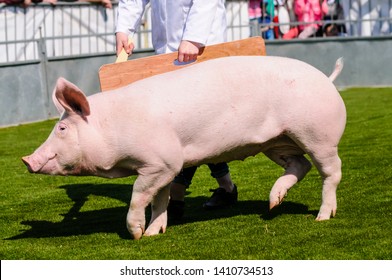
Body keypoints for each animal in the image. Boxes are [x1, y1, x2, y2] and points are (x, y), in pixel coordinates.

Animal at [22, 55, 346, 240]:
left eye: (62, 129)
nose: (26, 159)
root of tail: (327, 79)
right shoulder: (163, 168)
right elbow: (159, 199)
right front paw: (155, 233)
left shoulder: (161, 161)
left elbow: (138, 196)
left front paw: (137, 235)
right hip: (277, 141)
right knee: (300, 164)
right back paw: (272, 204)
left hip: (318, 134)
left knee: (332, 171)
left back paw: (322, 216)